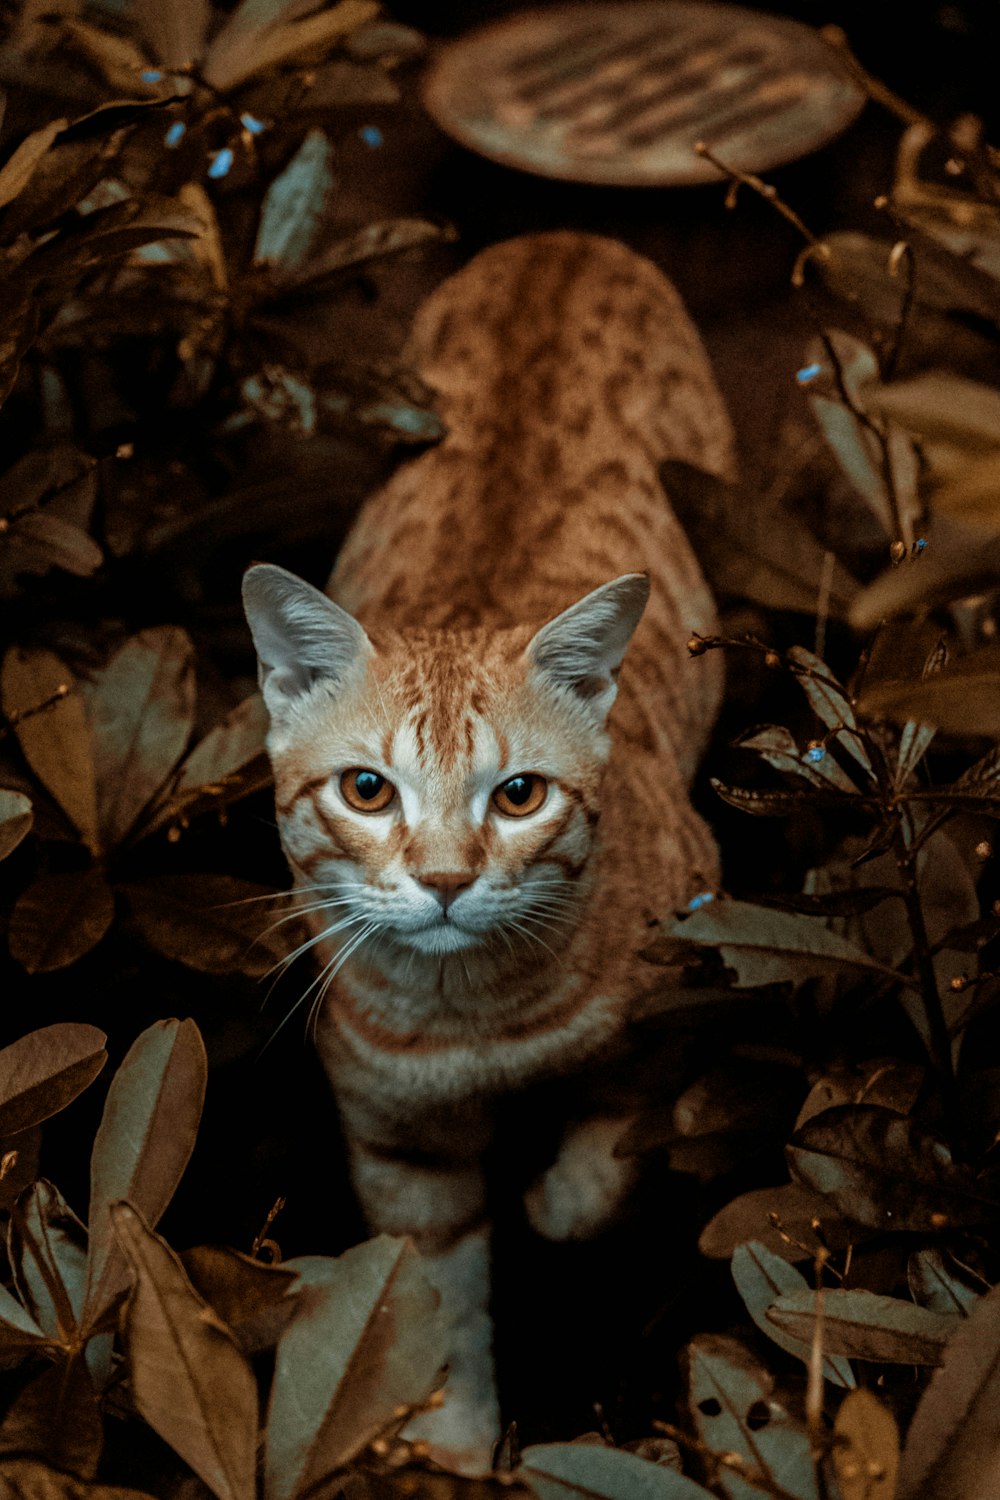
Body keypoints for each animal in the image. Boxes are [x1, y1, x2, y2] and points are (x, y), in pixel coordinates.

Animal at [242, 228, 734, 1470]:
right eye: (368, 790)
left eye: (517, 796)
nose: (446, 878)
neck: (477, 1020)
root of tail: (560, 239)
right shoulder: (399, 1147)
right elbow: (436, 1294)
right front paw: (459, 1432)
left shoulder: (697, 970)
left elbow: (619, 1140)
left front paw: (560, 1195)